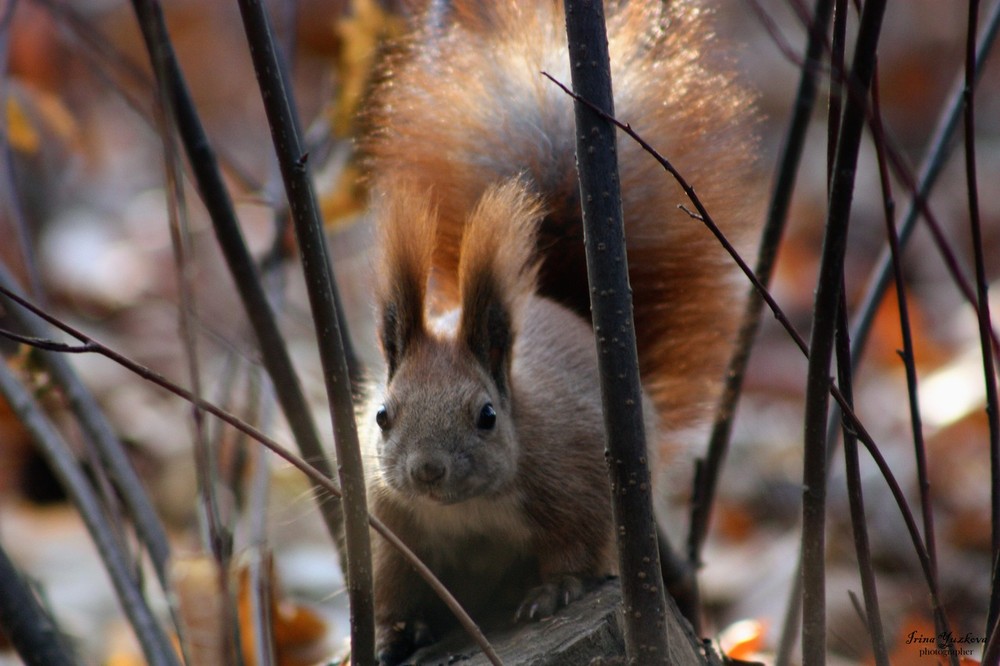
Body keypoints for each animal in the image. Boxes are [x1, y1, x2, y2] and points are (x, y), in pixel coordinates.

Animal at [356, 2, 760, 660]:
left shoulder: (578, 479)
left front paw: (553, 591)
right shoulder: (392, 527)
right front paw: (393, 633)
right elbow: (396, 584)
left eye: (487, 416)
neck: (468, 510)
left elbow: (575, 546)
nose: (427, 471)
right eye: (382, 415)